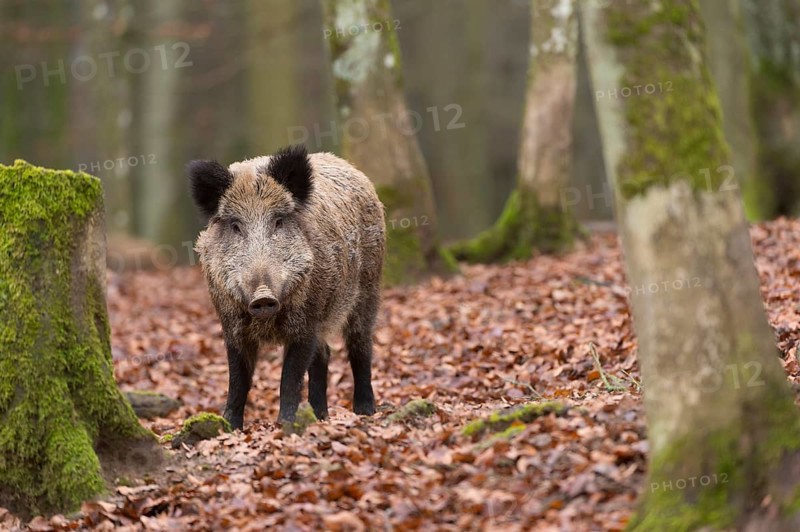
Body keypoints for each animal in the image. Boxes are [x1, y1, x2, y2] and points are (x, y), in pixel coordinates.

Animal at [187, 145, 385, 430]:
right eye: (235, 226)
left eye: (279, 221)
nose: (262, 297)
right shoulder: (230, 323)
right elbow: (238, 380)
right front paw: (229, 426)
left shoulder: (307, 321)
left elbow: (290, 377)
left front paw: (286, 425)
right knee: (324, 354)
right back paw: (320, 415)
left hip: (368, 288)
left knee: (360, 345)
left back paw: (365, 411)